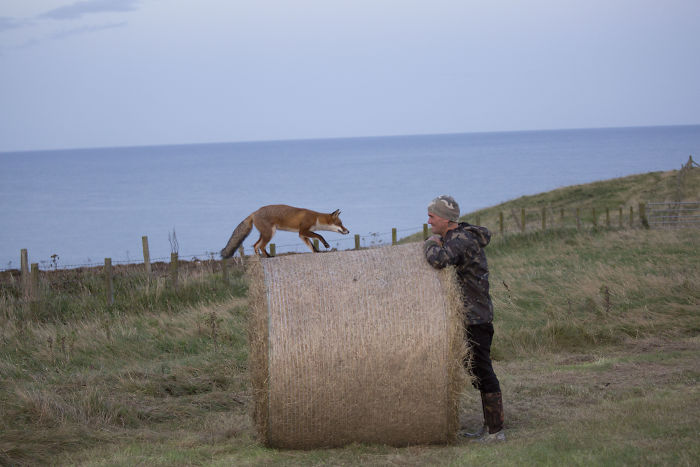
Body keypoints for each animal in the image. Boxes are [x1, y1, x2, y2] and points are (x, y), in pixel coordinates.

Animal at [220, 204, 350, 258]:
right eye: (340, 224)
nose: (348, 231)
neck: (315, 218)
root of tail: (254, 212)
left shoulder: (301, 235)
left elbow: (311, 246)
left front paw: (317, 252)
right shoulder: (303, 231)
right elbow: (319, 235)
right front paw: (326, 245)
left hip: (264, 234)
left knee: (256, 245)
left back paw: (260, 258)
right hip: (270, 233)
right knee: (261, 246)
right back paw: (268, 257)